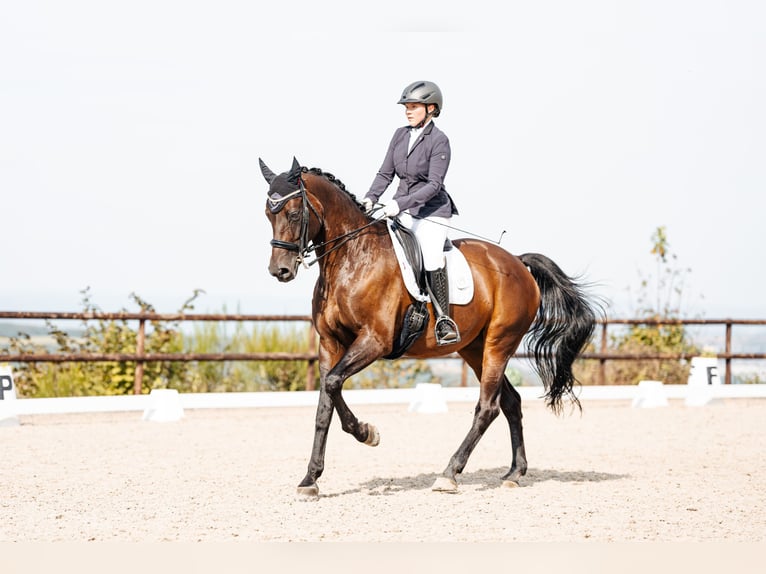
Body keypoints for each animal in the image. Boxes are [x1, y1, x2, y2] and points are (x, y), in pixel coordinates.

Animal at [262, 159, 600, 500]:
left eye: (294, 213)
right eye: (268, 213)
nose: (280, 270)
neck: (351, 259)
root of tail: (517, 263)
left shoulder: (375, 341)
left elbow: (332, 384)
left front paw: (367, 433)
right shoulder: (329, 343)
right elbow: (326, 400)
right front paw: (311, 478)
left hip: (499, 343)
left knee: (488, 407)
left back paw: (449, 474)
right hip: (474, 348)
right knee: (511, 402)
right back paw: (514, 473)